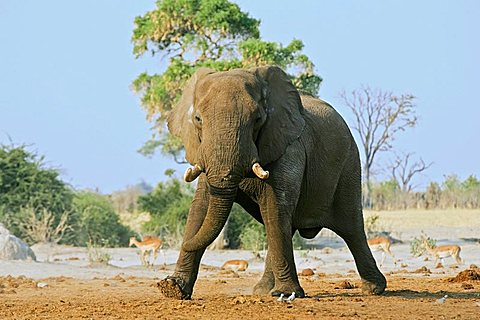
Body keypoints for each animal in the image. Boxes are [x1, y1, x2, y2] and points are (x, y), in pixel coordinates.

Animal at [159, 65, 388, 300]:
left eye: (258, 119)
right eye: (198, 119)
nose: (177, 241)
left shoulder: (290, 147)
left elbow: (274, 206)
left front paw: (288, 294)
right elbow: (200, 208)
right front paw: (172, 288)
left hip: (349, 164)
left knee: (351, 228)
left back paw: (374, 289)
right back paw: (263, 291)